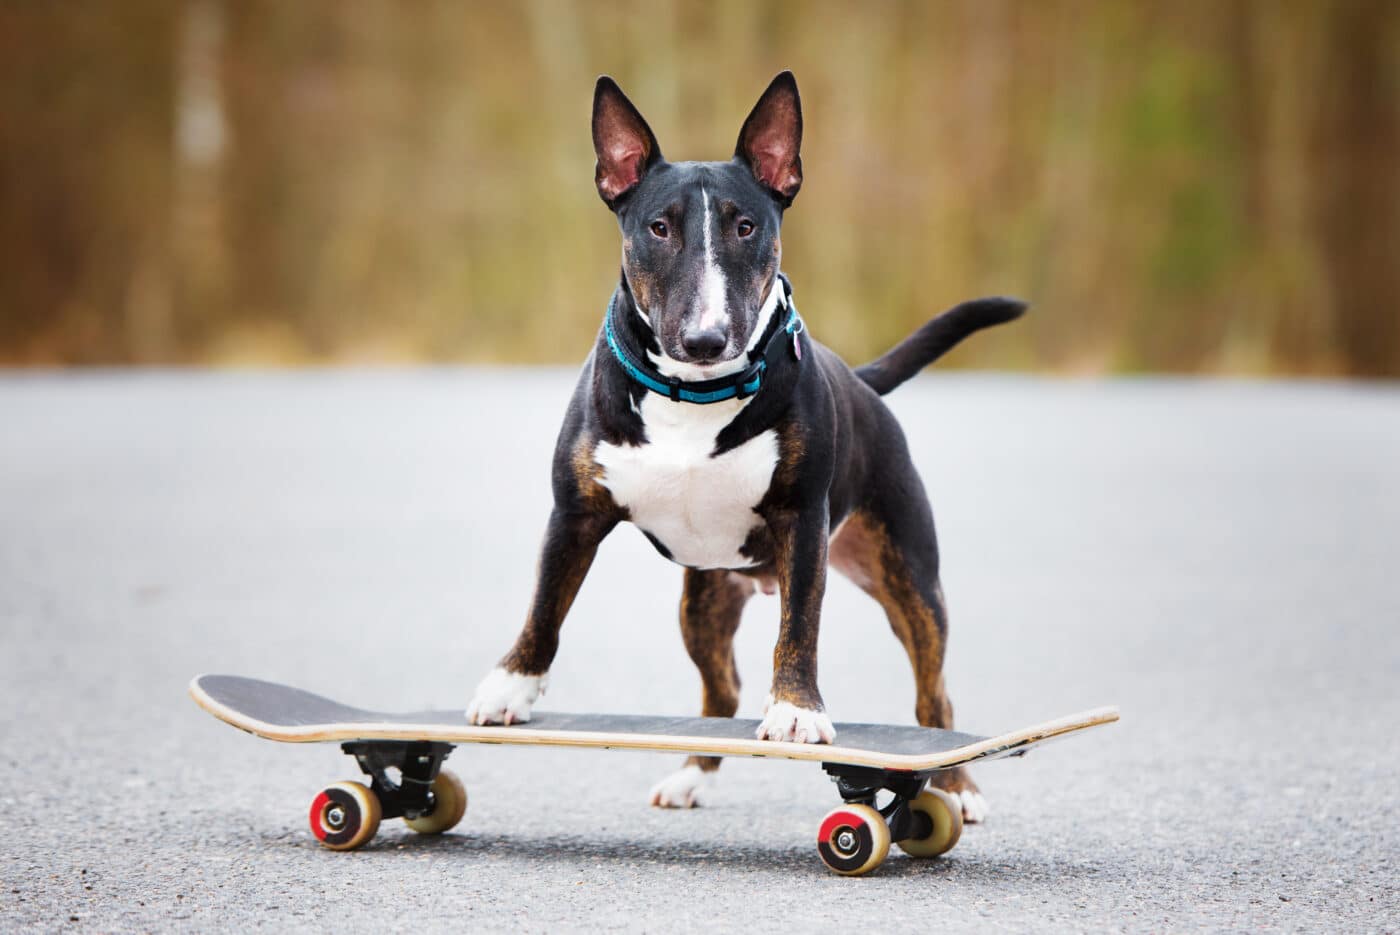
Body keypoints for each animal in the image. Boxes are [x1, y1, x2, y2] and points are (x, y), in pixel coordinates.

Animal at [464, 69, 1024, 823]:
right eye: (659, 227)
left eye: (747, 225)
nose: (706, 339)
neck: (694, 396)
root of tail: (862, 380)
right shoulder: (574, 513)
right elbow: (545, 606)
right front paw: (509, 687)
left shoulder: (803, 523)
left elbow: (800, 628)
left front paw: (796, 712)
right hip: (704, 598)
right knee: (719, 688)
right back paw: (691, 776)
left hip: (908, 574)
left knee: (935, 694)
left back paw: (958, 789)